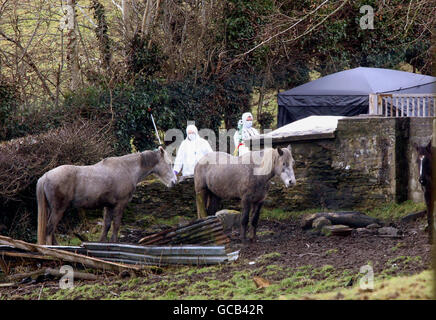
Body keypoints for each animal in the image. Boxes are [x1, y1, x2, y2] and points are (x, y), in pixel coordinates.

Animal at [35, 148, 175, 245]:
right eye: (170, 164)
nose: (174, 182)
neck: (127, 168)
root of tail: (45, 176)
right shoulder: (120, 204)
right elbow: (116, 224)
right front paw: (114, 242)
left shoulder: (108, 206)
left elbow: (106, 225)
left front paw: (102, 242)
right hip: (58, 209)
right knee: (49, 228)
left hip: (51, 209)